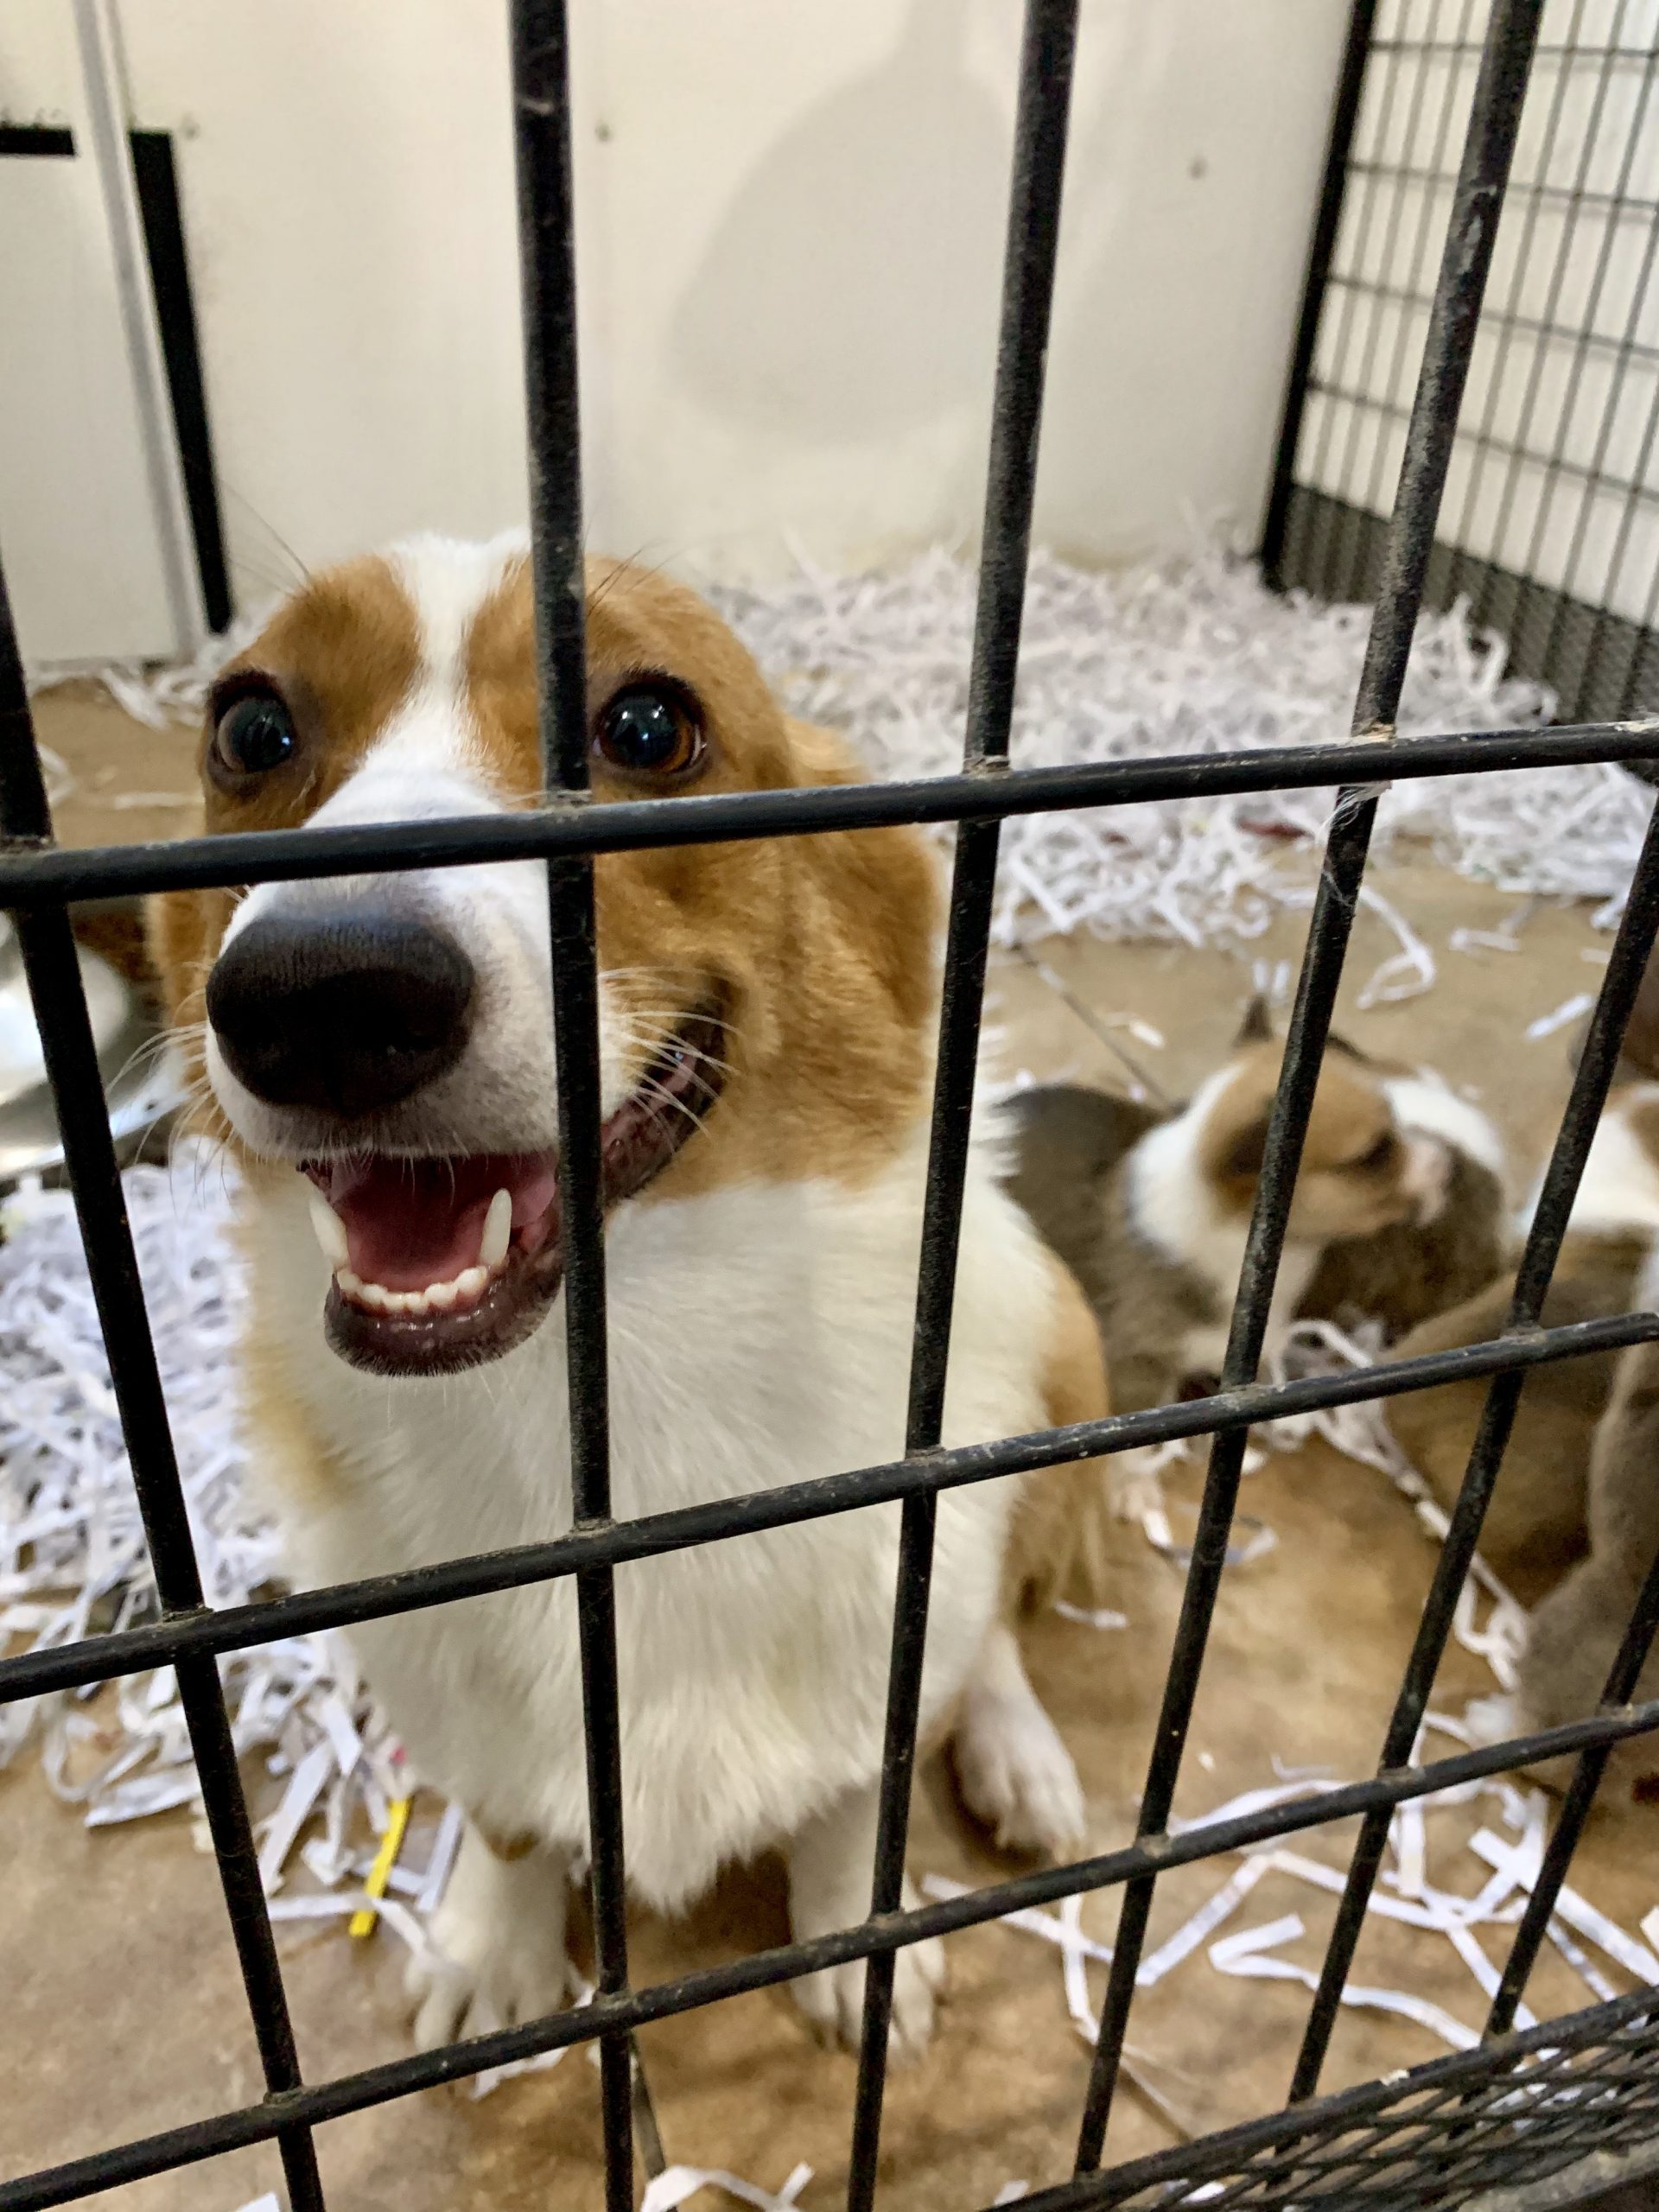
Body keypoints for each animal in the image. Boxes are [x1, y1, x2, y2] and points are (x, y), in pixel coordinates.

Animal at [152, 531, 1119, 2052]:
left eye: (650, 727)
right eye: (252, 731)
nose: (323, 991)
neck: (603, 1410)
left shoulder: (890, 1630)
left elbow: (861, 1787)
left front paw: (857, 1943)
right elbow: (503, 1818)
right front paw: (492, 1944)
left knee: (995, 1637)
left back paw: (1017, 1753)